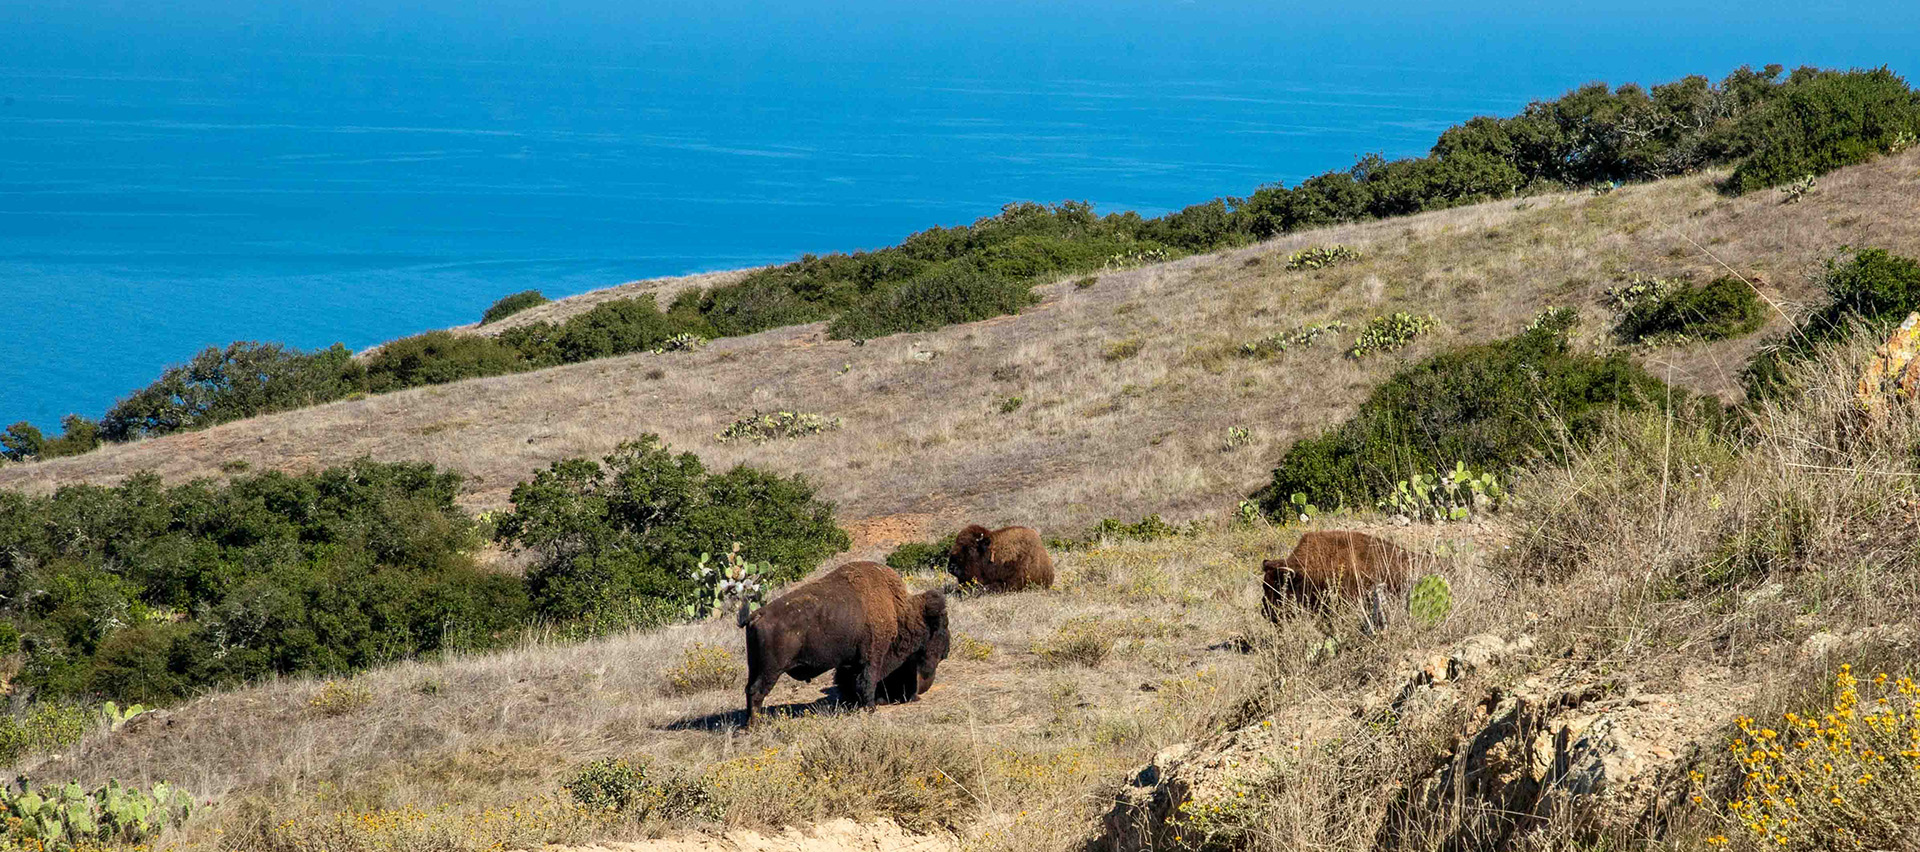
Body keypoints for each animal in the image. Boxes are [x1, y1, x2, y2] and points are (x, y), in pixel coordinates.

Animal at [739, 561, 949, 727]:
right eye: (942, 626)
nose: (946, 651)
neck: (900, 611)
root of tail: (756, 615)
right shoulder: (873, 657)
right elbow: (868, 681)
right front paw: (870, 708)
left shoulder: (853, 663)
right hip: (771, 670)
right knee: (757, 692)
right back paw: (756, 725)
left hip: (754, 666)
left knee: (749, 689)